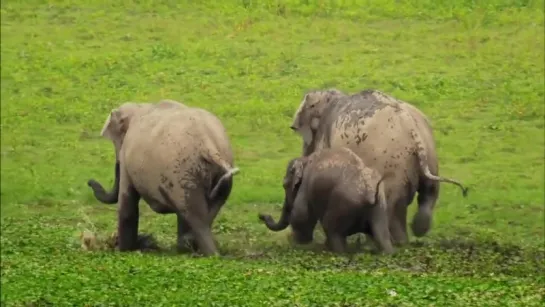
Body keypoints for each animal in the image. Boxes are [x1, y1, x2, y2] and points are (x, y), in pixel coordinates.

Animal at [86, 100, 239, 255]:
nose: (89, 181)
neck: (139, 106)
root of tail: (209, 145)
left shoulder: (126, 157)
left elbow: (127, 206)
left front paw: (122, 251)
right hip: (212, 173)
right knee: (204, 211)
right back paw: (189, 247)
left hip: (183, 172)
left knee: (195, 216)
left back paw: (208, 253)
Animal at [258, 147, 394, 255]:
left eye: (284, 185)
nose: (262, 215)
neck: (305, 159)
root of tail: (369, 193)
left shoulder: (306, 185)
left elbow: (301, 214)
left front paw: (297, 244)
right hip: (380, 207)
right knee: (382, 236)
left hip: (343, 204)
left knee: (333, 231)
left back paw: (335, 252)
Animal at [288, 89, 468, 248]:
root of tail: (410, 126)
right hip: (430, 155)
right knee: (428, 193)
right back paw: (416, 232)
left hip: (391, 165)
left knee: (391, 208)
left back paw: (393, 243)